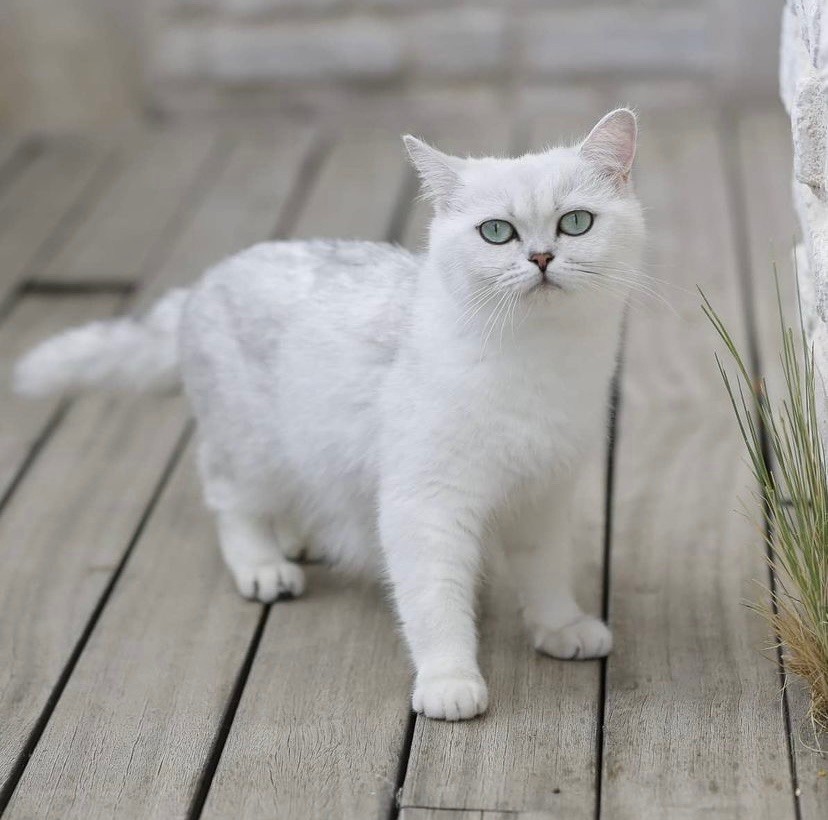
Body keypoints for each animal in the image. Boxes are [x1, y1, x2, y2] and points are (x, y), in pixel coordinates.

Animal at [14, 109, 648, 716]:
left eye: (575, 223)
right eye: (497, 233)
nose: (541, 257)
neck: (539, 358)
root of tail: (203, 283)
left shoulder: (544, 494)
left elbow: (545, 574)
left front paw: (560, 627)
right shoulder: (425, 506)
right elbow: (436, 603)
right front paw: (450, 681)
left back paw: (303, 538)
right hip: (250, 449)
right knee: (231, 503)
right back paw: (264, 565)